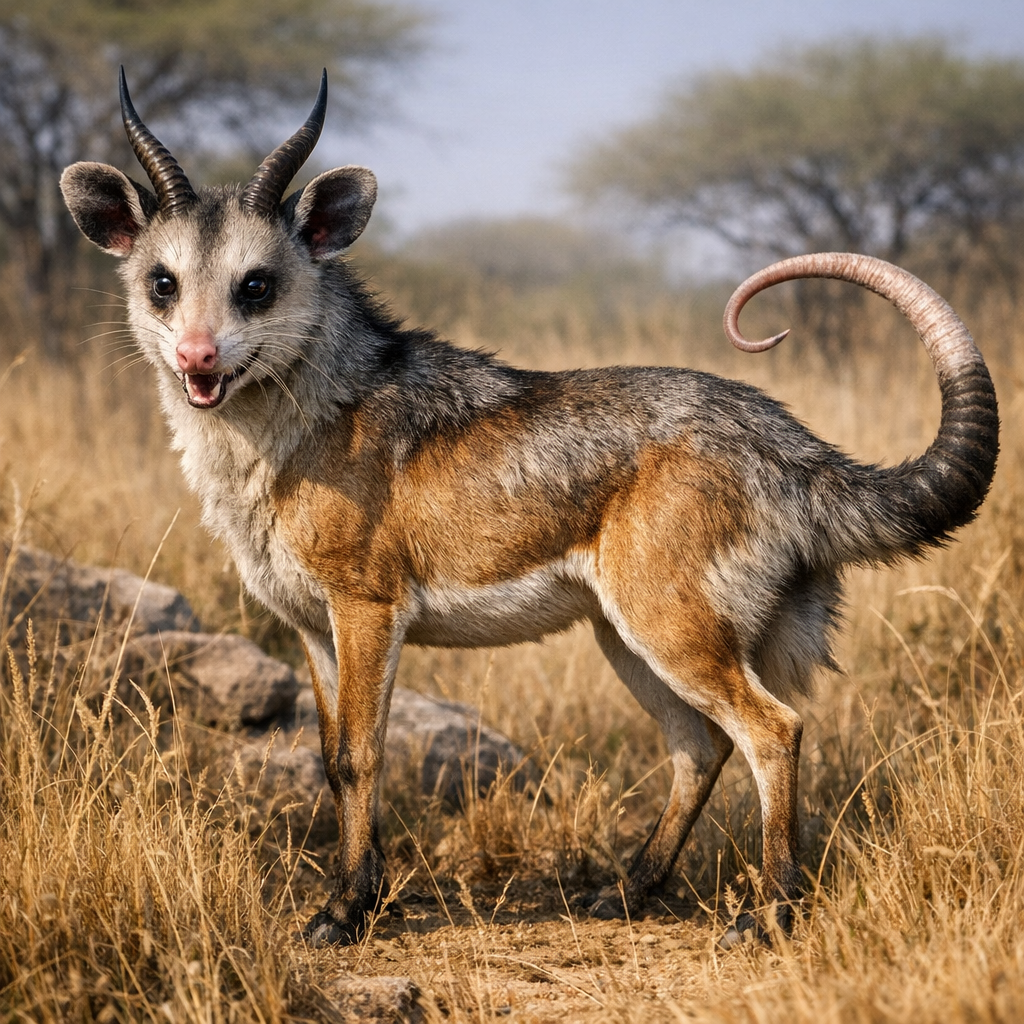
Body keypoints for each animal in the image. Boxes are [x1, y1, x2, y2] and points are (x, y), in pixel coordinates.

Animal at [61, 71, 998, 946]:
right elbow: (330, 760)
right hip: (628, 640)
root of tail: (791, 443)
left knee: (774, 731)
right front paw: (358, 895)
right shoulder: (311, 630)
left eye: (256, 285)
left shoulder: (367, 613)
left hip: (669, 635)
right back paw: (628, 891)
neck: (305, 420)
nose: (197, 358)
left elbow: (363, 757)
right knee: (700, 747)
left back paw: (767, 913)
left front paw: (347, 911)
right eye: (163, 283)